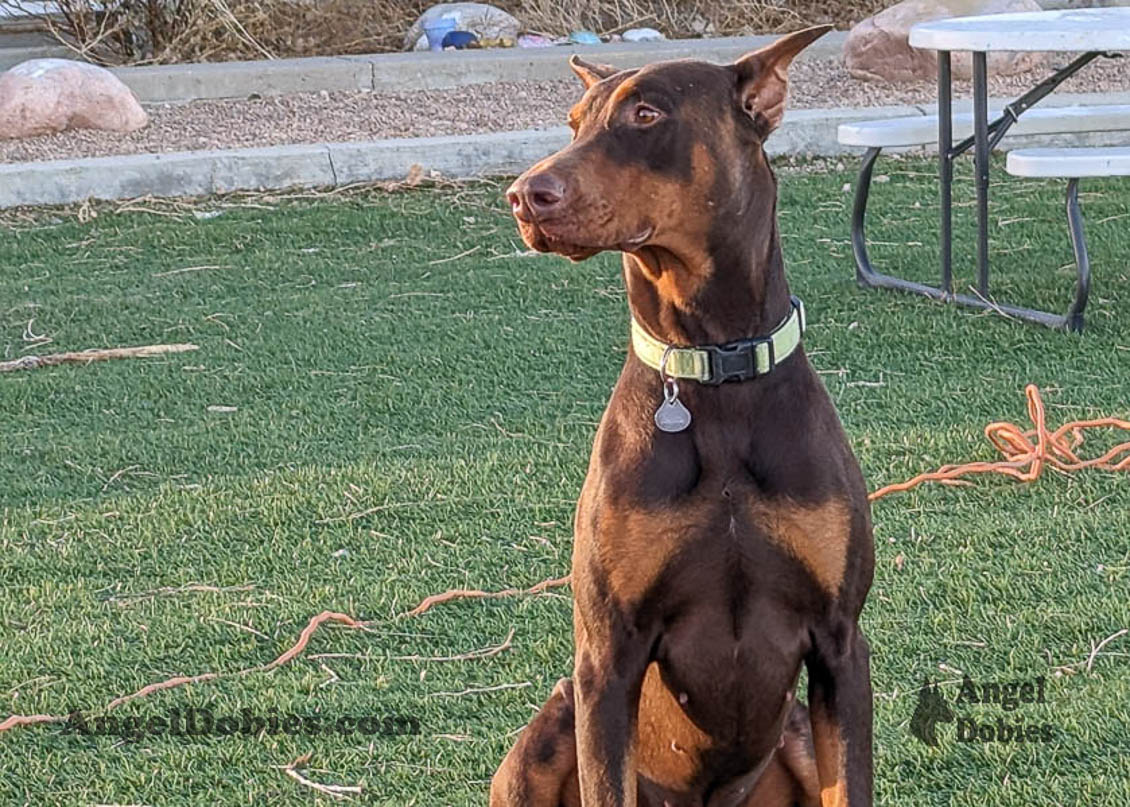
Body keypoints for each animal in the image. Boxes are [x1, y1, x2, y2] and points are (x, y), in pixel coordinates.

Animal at [492, 25, 872, 804]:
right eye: (573, 123)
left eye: (646, 115)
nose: (524, 196)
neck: (714, 370)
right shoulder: (606, 659)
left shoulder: (842, 645)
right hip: (549, 723)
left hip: (795, 730)